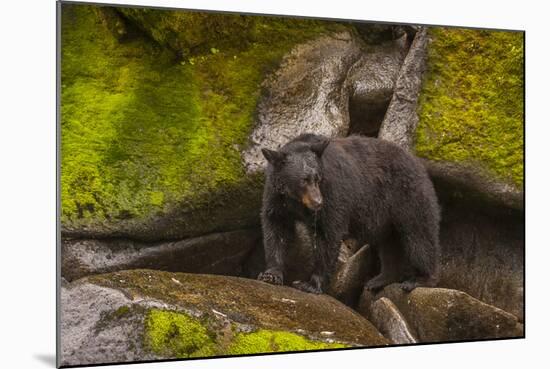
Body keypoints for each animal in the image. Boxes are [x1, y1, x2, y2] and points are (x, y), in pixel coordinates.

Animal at [256, 134, 442, 292]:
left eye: (317, 178)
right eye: (304, 180)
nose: (318, 202)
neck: (296, 201)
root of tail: (419, 164)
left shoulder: (333, 192)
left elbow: (328, 235)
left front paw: (310, 284)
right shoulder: (276, 198)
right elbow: (276, 229)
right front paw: (271, 274)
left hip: (408, 197)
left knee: (419, 236)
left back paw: (420, 279)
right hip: (388, 220)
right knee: (389, 245)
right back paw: (379, 279)